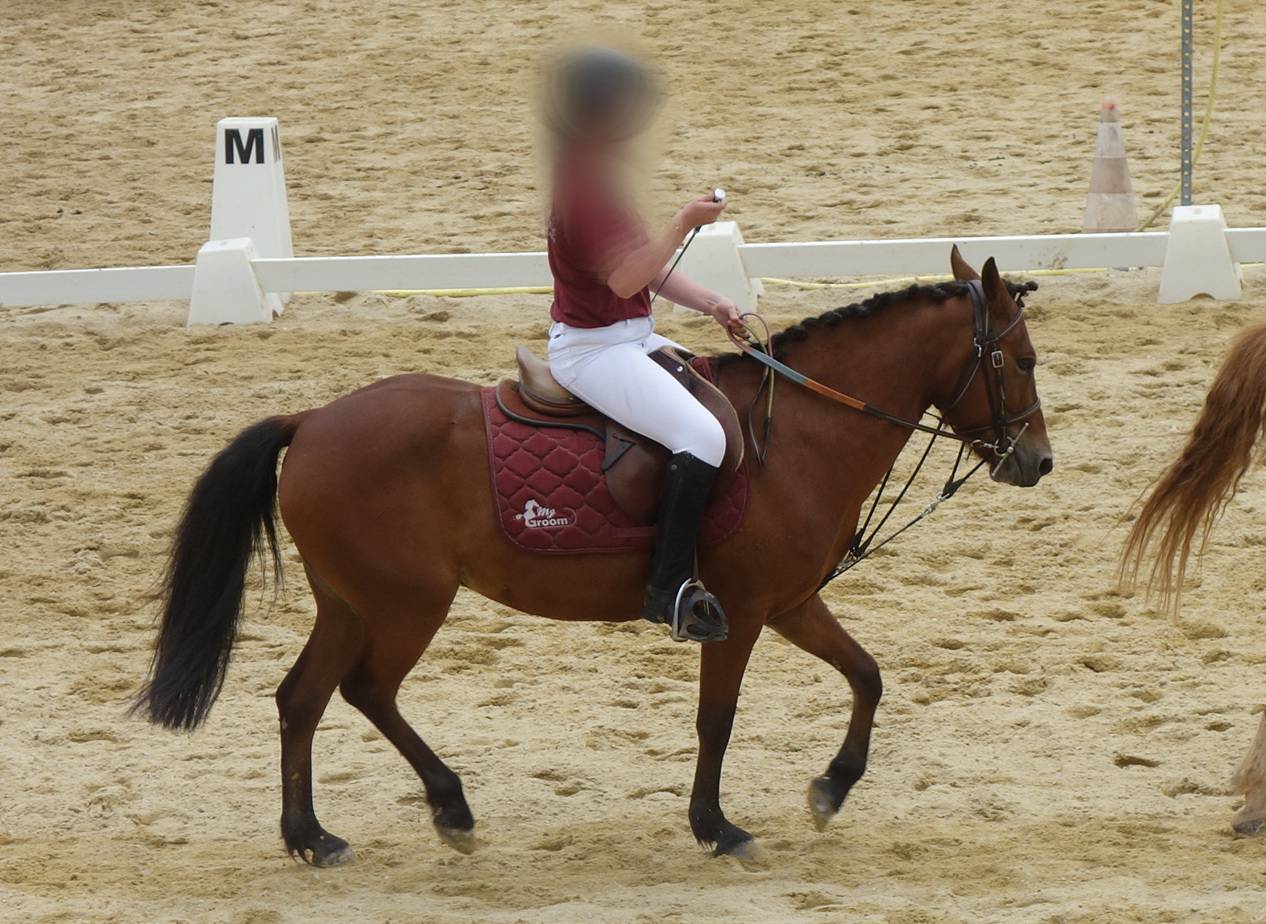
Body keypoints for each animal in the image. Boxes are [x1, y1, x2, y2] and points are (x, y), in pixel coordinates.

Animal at [136, 248, 1053, 866]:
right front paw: (717, 827)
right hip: (405, 604)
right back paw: (448, 809)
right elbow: (717, 718)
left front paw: (830, 788)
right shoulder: (744, 611)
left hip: (351, 601)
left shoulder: (792, 602)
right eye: (1018, 360)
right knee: (365, 690)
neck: (800, 431)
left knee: (302, 698)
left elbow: (867, 675)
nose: (1037, 462)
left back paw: (312, 837)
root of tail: (314, 420)